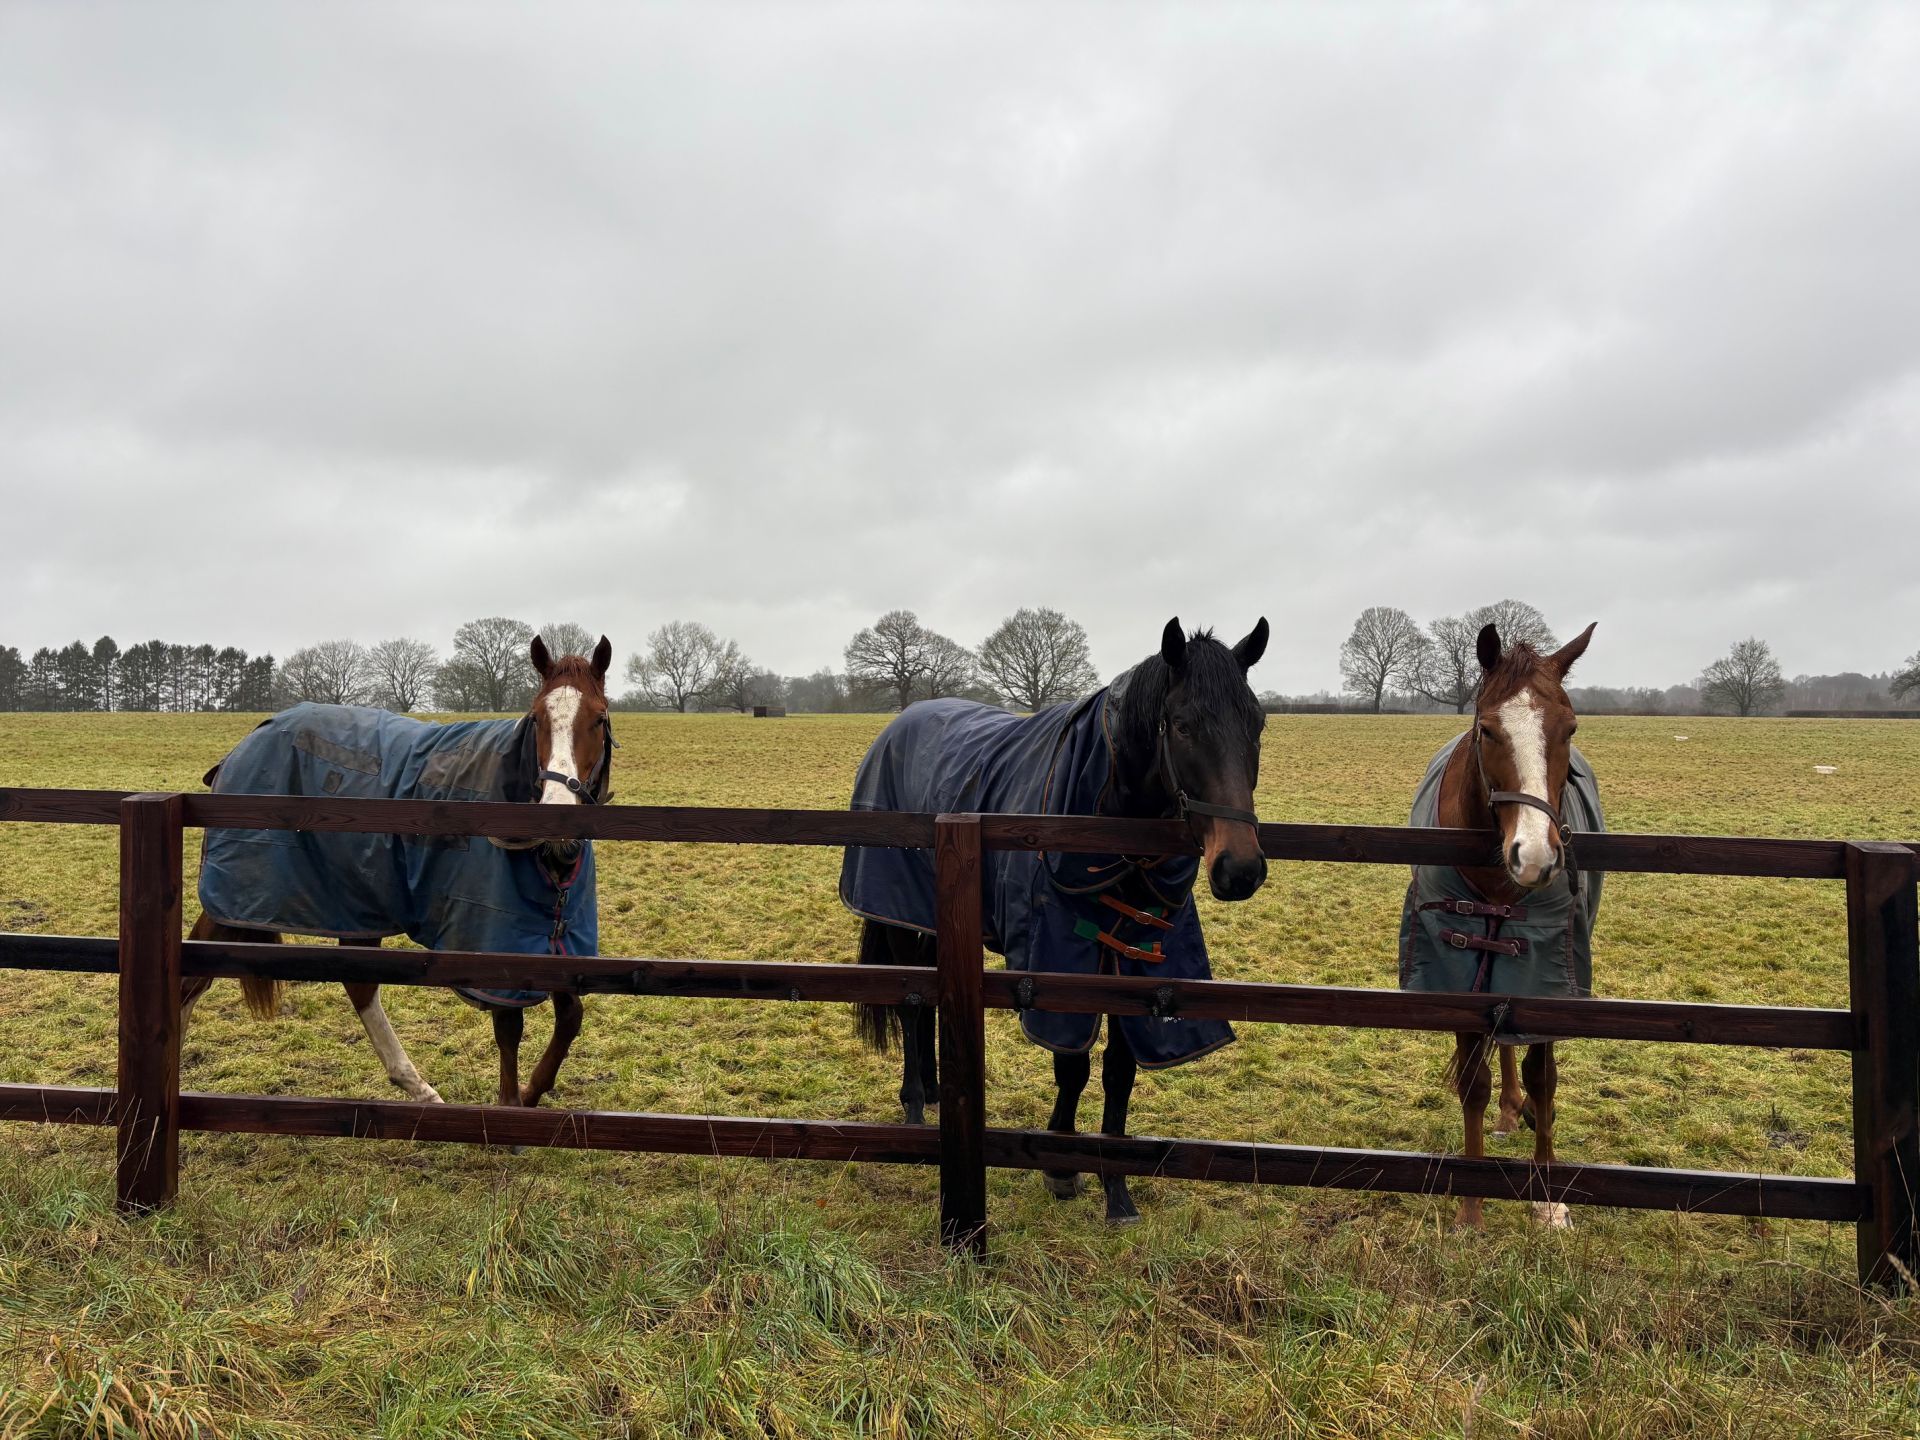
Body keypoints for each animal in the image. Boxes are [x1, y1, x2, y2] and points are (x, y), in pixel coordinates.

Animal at [183, 635, 616, 1110]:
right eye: (537, 717)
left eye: (598, 719)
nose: (555, 817)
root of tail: (247, 743)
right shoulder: (495, 944)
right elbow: (509, 1028)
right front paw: (510, 1105)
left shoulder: (556, 937)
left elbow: (571, 1016)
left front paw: (532, 1091)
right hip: (238, 899)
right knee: (191, 974)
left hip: (352, 902)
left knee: (358, 985)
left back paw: (417, 1086)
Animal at [842, 617, 1270, 1223]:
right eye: (1184, 725)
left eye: (1257, 724)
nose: (1241, 869)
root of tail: (898, 726)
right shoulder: (1061, 958)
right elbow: (1073, 1063)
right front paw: (1061, 1166)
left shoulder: (1135, 959)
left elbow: (1119, 1070)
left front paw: (1117, 1190)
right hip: (900, 919)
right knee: (910, 1006)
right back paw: (915, 1109)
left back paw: (933, 1091)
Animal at [1397, 621, 1604, 1230]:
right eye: (1488, 729)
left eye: (1570, 727)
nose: (1533, 855)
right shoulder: (1453, 976)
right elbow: (1473, 1083)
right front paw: (1470, 1208)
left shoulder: (1548, 977)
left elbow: (1543, 1077)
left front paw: (1546, 1195)